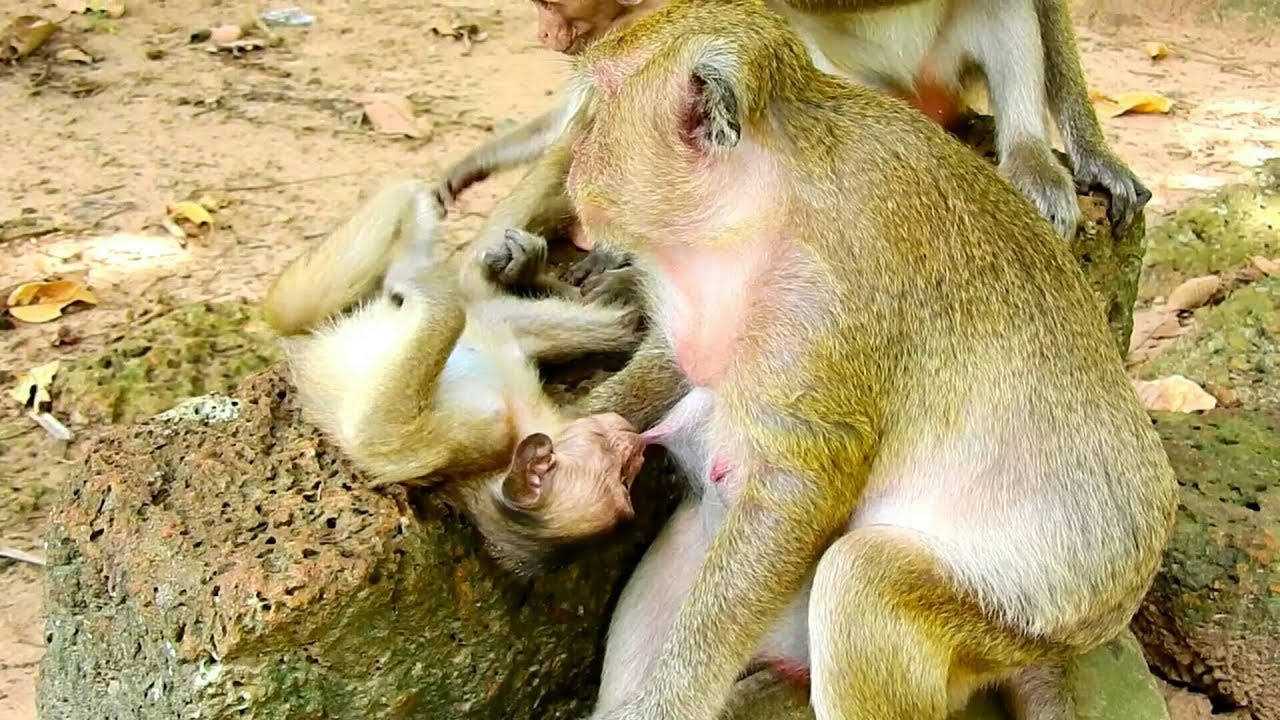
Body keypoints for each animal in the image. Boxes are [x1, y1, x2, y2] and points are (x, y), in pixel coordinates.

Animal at [532, 2, 1177, 719]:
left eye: (599, 112)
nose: (575, 165)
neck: (764, 200)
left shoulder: (823, 304)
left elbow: (802, 489)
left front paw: (668, 704)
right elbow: (677, 365)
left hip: (1024, 613)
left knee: (862, 581)